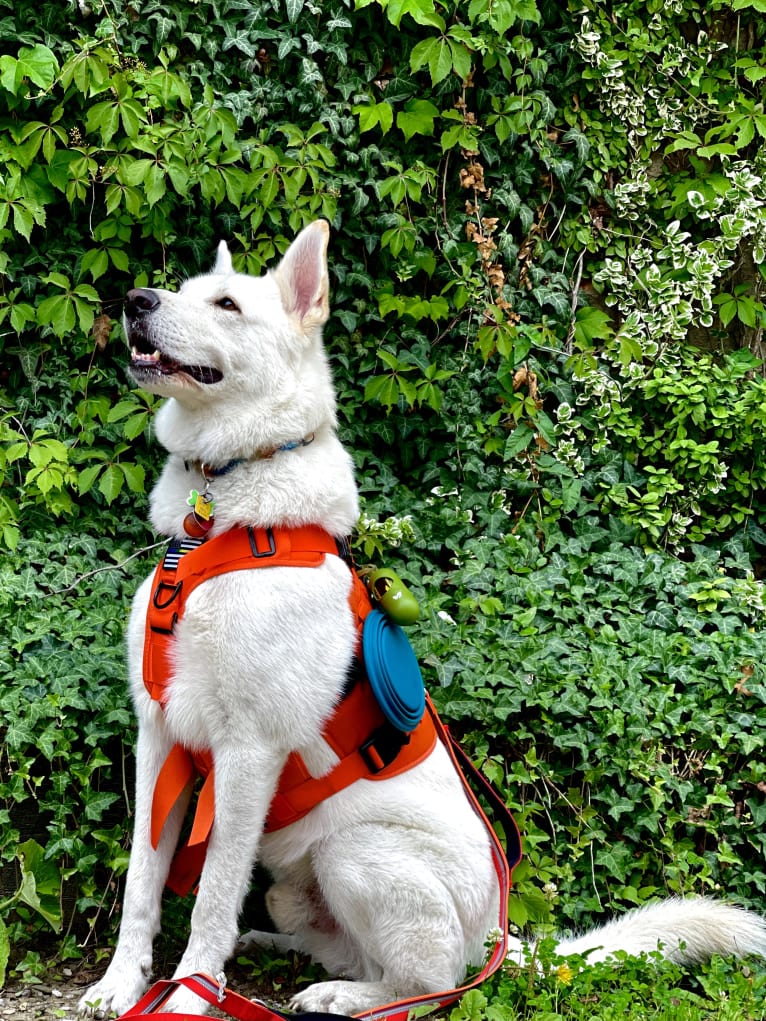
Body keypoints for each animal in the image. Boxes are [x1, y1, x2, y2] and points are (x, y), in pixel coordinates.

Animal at [81, 221, 763, 1012]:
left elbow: (213, 894)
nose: (136, 299)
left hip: (357, 852)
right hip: (297, 887)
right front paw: (121, 985)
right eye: (181, 290)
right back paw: (280, 955)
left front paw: (189, 996)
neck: (219, 519)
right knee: (352, 951)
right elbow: (142, 882)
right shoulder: (159, 738)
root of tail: (496, 934)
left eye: (225, 304)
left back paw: (336, 998)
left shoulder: (247, 751)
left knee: (430, 985)